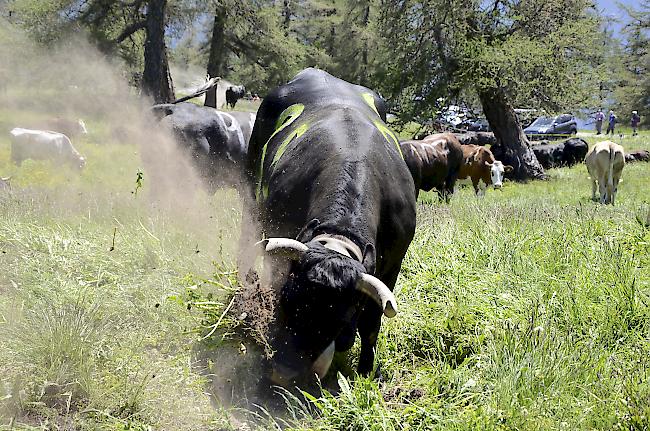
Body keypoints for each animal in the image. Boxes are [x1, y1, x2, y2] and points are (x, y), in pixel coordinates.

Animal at [239, 67, 416, 388]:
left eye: (340, 317)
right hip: (249, 189)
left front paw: (365, 371)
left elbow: (371, 324)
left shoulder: (393, 265)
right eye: (286, 300)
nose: (283, 372)